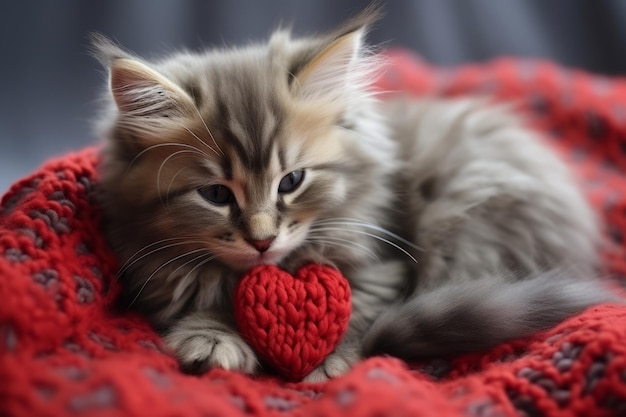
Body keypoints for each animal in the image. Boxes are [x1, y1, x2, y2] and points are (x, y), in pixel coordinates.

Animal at [91, 7, 608, 380]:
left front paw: (327, 358)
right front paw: (212, 338)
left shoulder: (379, 264)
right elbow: (202, 295)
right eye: (216, 194)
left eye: (291, 181)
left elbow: (359, 309)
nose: (262, 240)